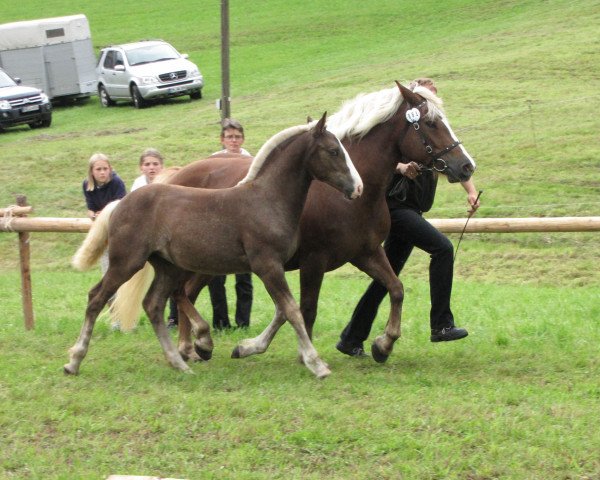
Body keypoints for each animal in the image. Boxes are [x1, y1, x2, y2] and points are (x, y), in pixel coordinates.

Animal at [68, 112, 364, 378]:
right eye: (333, 151)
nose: (358, 188)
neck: (267, 200)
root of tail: (119, 203)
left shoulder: (274, 267)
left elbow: (285, 310)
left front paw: (246, 348)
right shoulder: (267, 265)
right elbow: (292, 310)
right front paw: (317, 364)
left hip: (167, 267)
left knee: (154, 304)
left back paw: (181, 362)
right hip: (127, 262)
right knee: (97, 298)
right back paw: (74, 361)